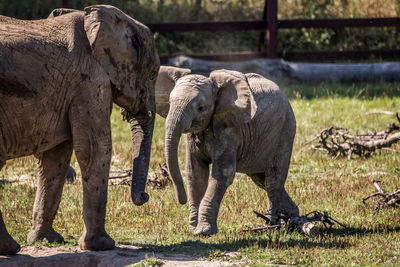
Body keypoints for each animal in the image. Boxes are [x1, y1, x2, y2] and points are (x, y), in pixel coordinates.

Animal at [0, 4, 159, 255]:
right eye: (153, 73)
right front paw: (102, 245)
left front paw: (47, 240)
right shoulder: (90, 81)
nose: (145, 195)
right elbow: (95, 150)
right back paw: (10, 249)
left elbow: (55, 157)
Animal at [155, 67, 298, 237]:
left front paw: (203, 231)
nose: (181, 200)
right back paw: (293, 215)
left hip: (285, 132)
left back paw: (272, 224)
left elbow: (222, 174)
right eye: (169, 103)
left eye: (200, 108)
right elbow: (195, 174)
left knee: (273, 180)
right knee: (260, 179)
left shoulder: (229, 131)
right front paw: (194, 229)